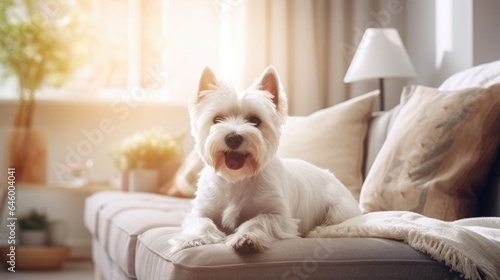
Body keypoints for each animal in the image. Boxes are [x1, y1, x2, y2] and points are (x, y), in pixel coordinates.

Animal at [170, 66, 362, 254]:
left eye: (255, 121)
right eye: (217, 119)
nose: (233, 138)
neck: (237, 179)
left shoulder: (279, 215)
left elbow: (256, 221)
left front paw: (246, 237)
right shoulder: (201, 211)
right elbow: (203, 223)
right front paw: (192, 238)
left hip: (339, 208)